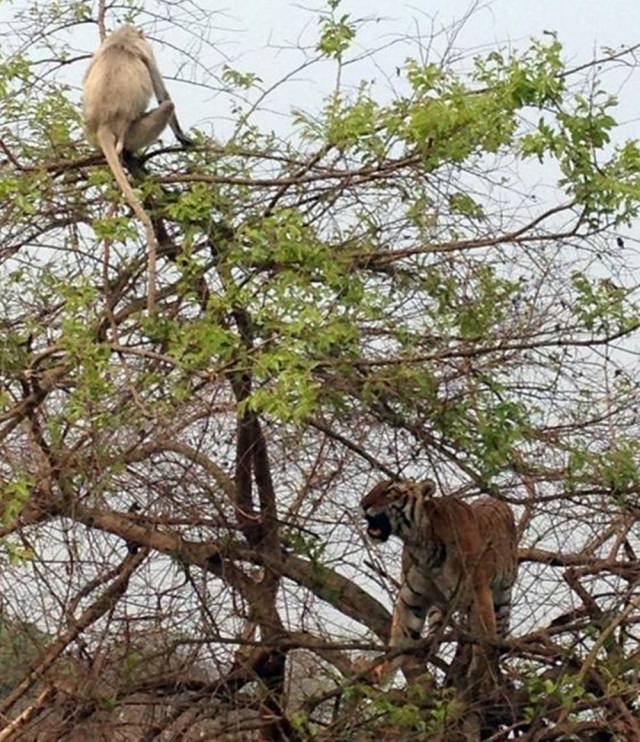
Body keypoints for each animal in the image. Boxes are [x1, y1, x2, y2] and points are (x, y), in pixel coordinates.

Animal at [83, 25, 192, 310]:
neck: (120, 40)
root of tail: (104, 126)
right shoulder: (145, 50)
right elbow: (164, 95)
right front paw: (183, 138)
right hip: (135, 132)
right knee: (166, 106)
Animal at [362, 480, 516, 684]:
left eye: (391, 491)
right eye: (374, 488)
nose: (363, 504)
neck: (421, 546)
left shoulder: (478, 593)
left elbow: (485, 639)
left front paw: (480, 674)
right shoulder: (411, 600)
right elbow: (400, 636)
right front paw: (380, 674)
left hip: (502, 598)